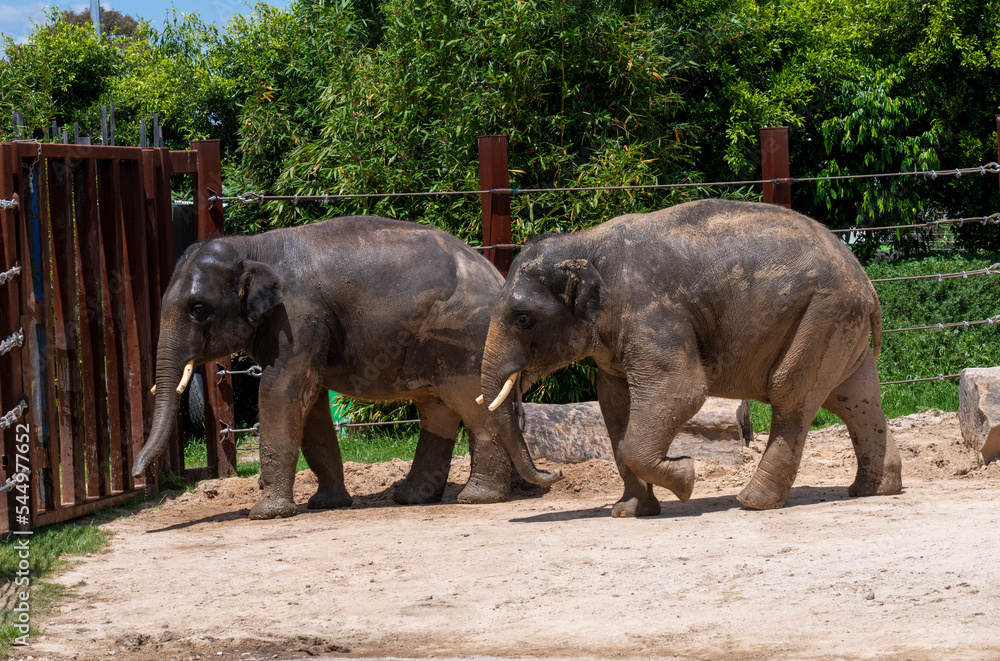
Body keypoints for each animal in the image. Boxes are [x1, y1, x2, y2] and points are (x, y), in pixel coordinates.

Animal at [131, 216, 562, 519]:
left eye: (198, 309)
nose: (136, 475)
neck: (252, 245)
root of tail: (496, 275)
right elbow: (312, 407)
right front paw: (326, 505)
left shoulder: (298, 316)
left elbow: (281, 391)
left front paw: (265, 514)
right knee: (436, 408)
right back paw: (410, 498)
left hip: (465, 337)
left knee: (472, 408)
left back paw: (476, 499)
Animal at [479, 199, 902, 517]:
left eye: (522, 319)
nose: (555, 474)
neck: (584, 243)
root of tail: (865, 281)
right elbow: (614, 407)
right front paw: (629, 512)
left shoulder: (652, 310)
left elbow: (681, 390)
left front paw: (686, 478)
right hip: (838, 324)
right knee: (854, 398)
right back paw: (874, 490)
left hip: (821, 315)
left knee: (792, 398)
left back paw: (752, 502)